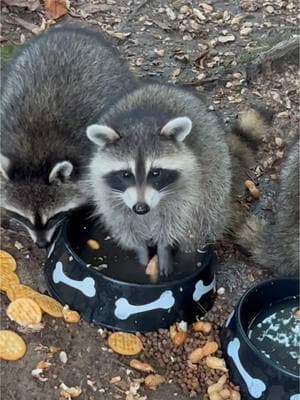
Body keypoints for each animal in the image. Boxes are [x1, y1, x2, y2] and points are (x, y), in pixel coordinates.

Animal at [0, 25, 135, 247]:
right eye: (22, 217)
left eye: (53, 217)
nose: (42, 244)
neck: (34, 158)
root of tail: (70, 30)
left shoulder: (89, 158)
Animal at [85, 81, 264, 276]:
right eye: (126, 174)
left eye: (155, 173)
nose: (141, 208)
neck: (141, 122)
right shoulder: (106, 190)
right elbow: (124, 222)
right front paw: (141, 253)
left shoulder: (188, 186)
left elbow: (174, 222)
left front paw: (164, 249)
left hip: (216, 174)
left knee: (203, 216)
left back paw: (190, 253)